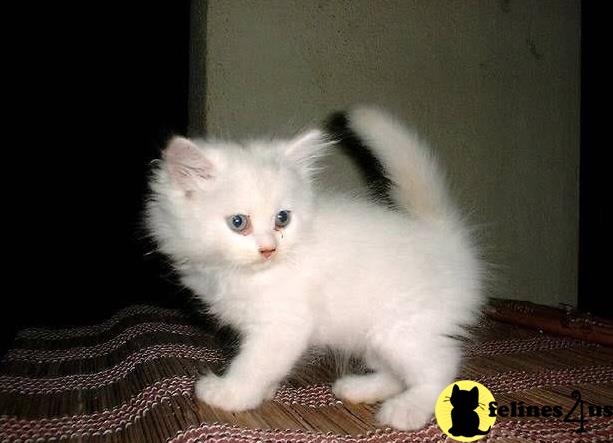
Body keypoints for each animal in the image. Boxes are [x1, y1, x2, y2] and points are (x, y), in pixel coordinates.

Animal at [146, 106, 486, 430]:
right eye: (238, 223)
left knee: (441, 365)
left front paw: (230, 393)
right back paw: (360, 388)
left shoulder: (283, 324)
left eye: (282, 219)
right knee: (396, 373)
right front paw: (265, 390)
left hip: (403, 327)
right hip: (370, 333)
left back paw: (407, 409)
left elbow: (255, 364)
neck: (238, 274)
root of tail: (444, 236)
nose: (269, 249)